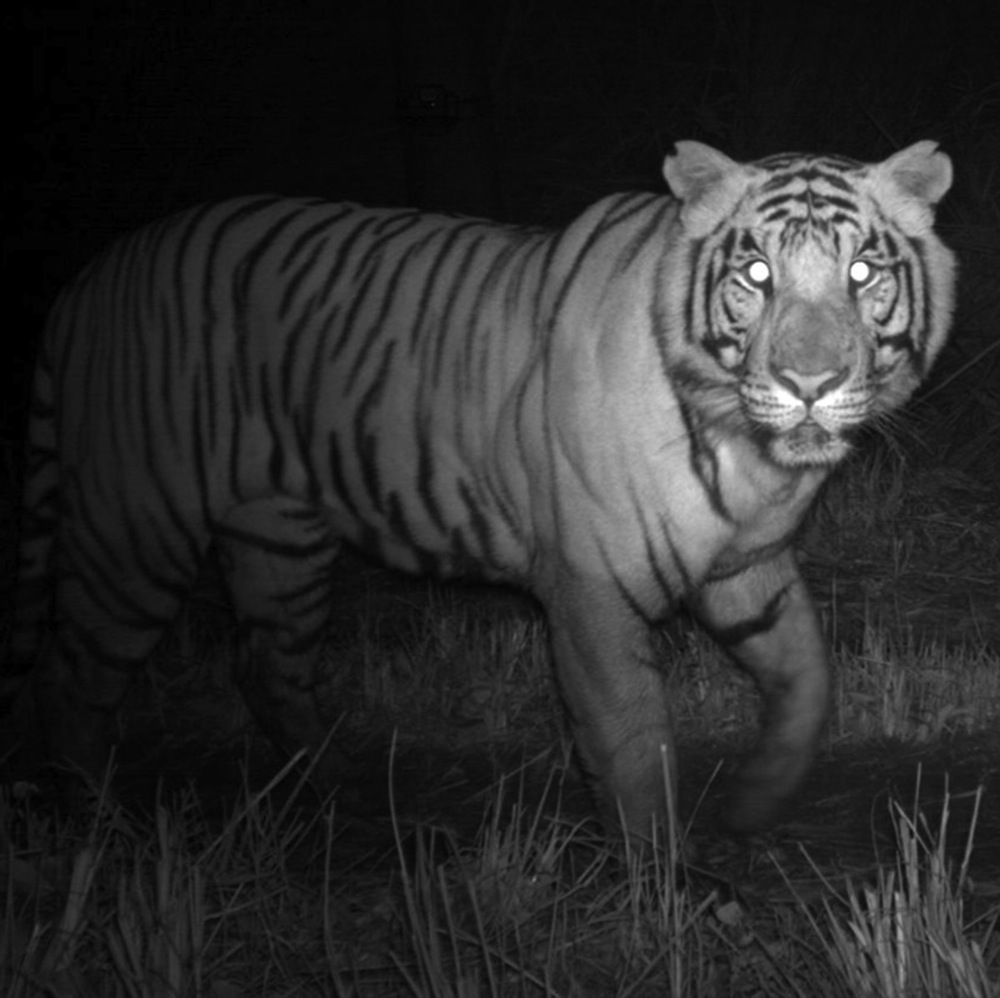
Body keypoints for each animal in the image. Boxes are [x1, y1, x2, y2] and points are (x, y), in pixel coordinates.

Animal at [9, 141, 960, 840]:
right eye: (756, 275)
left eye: (863, 274)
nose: (811, 382)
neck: (753, 458)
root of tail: (92, 278)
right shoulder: (591, 593)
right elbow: (632, 746)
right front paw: (665, 892)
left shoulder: (746, 569)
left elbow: (808, 679)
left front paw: (757, 799)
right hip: (137, 531)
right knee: (68, 673)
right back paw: (97, 823)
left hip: (280, 537)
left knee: (264, 664)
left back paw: (341, 789)